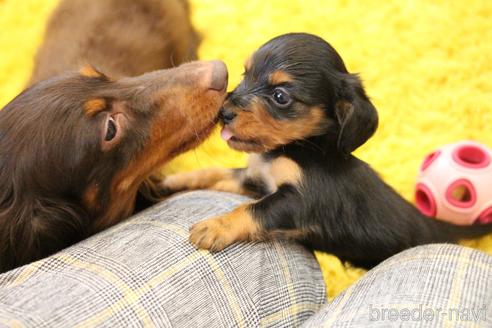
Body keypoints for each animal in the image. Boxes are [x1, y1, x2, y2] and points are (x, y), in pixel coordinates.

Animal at [164, 32, 492, 270]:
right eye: (246, 75)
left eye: (280, 96)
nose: (224, 113)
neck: (298, 148)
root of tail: (439, 227)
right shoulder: (256, 179)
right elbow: (216, 173)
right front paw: (175, 181)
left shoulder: (297, 200)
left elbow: (253, 209)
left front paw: (215, 226)